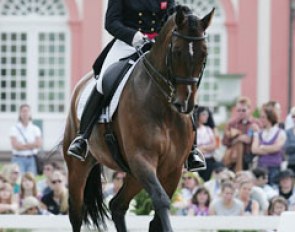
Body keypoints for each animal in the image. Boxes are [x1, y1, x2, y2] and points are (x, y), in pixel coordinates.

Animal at [63, 5, 215, 232]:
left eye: (204, 53)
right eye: (177, 51)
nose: (185, 103)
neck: (164, 107)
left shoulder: (172, 169)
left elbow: (157, 218)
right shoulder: (142, 158)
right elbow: (160, 200)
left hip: (133, 174)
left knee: (117, 205)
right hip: (78, 167)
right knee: (76, 212)